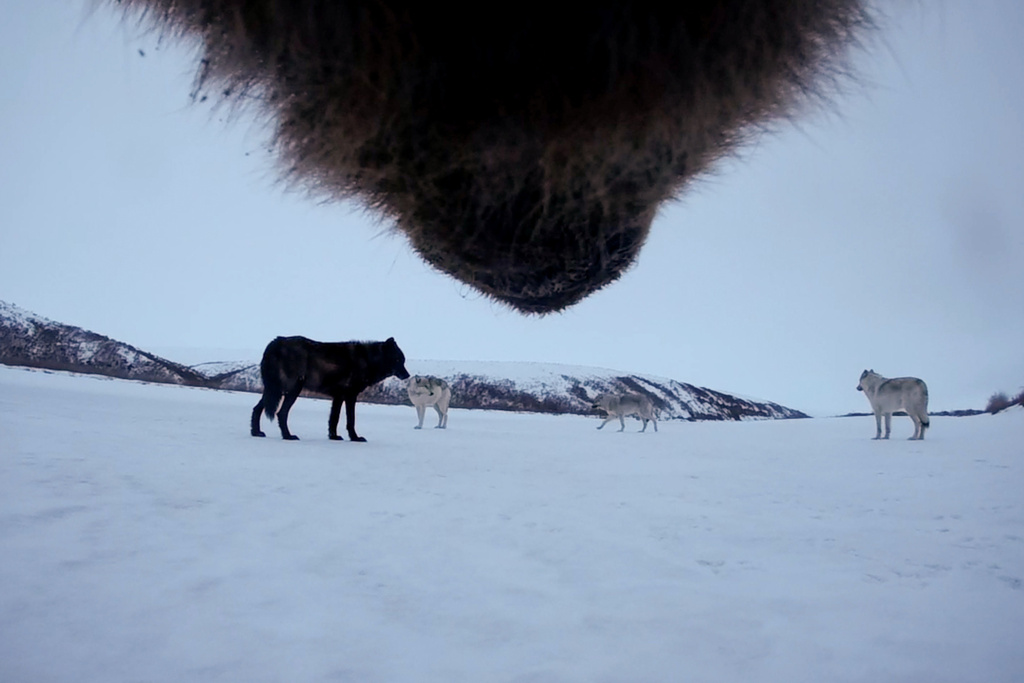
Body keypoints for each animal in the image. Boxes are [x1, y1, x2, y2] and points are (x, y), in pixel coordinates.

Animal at [250, 336, 410, 441]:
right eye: (398, 360)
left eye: (403, 360)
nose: (408, 375)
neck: (367, 360)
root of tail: (275, 342)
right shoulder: (350, 396)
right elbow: (351, 420)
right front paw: (355, 437)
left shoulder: (338, 397)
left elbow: (334, 418)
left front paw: (334, 436)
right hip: (290, 391)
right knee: (281, 413)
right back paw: (288, 436)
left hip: (274, 391)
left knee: (257, 408)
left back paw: (256, 432)